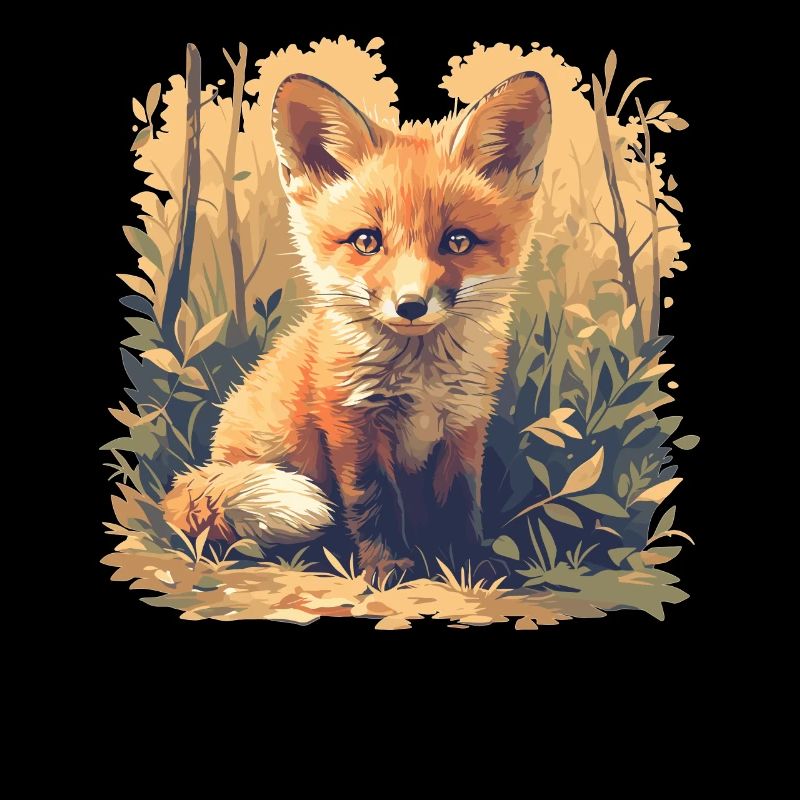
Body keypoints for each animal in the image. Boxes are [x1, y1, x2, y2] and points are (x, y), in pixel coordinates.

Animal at [162, 70, 552, 581]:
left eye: (458, 241)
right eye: (366, 241)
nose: (411, 305)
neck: (421, 379)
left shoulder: (465, 423)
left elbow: (461, 502)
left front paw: (468, 566)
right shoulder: (351, 419)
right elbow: (373, 502)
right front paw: (389, 567)